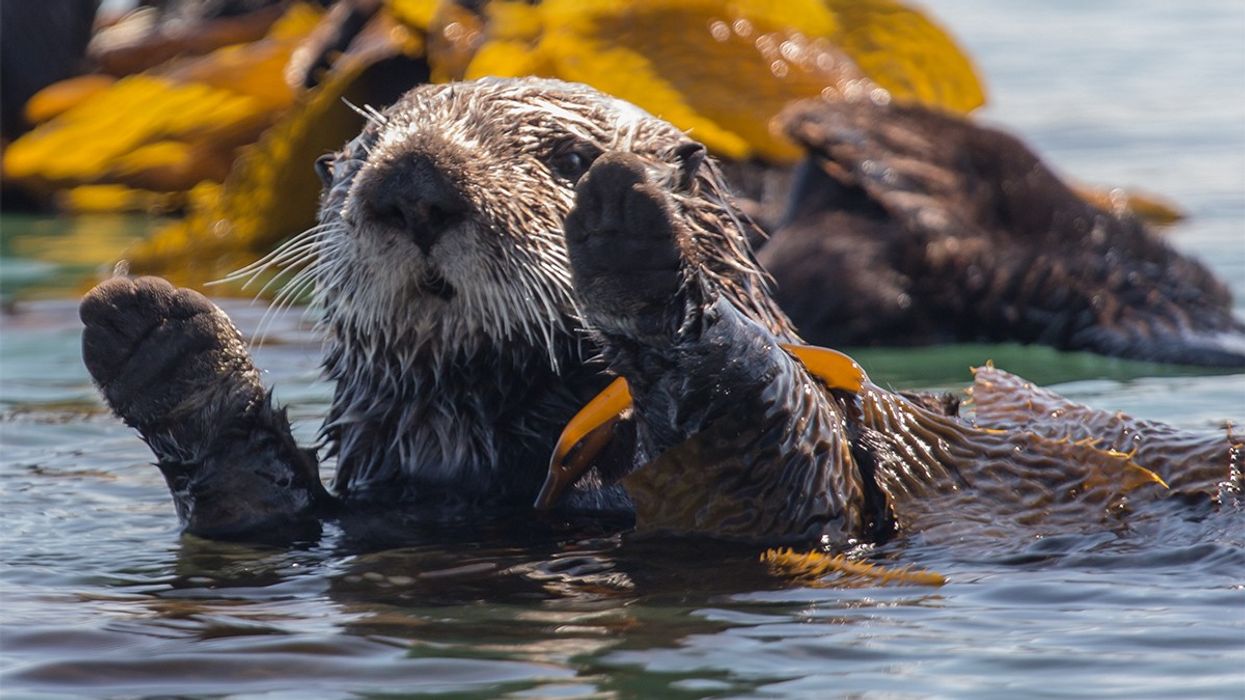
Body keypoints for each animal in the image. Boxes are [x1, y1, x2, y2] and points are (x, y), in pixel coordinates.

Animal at [80, 77, 1240, 543]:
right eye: (359, 154)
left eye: (559, 156)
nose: (411, 182)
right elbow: (249, 511)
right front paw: (163, 347)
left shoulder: (820, 488)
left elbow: (775, 451)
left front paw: (633, 242)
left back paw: (880, 136)